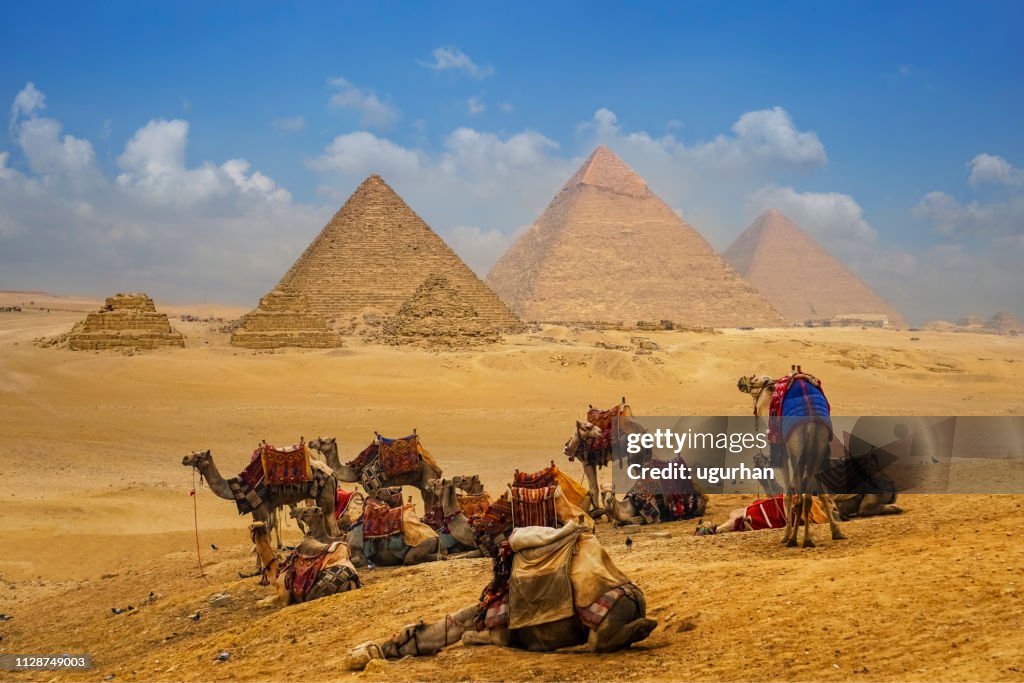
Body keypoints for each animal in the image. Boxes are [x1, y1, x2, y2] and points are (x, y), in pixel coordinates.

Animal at [181, 448, 344, 540]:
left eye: (199, 456)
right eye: (193, 452)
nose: (184, 458)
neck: (238, 486)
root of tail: (332, 474)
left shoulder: (260, 507)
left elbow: (265, 533)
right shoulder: (261, 509)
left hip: (326, 498)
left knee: (335, 530)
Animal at [307, 438, 444, 511]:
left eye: (324, 441)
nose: (310, 443)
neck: (356, 470)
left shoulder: (373, 490)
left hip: (428, 474)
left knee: (428, 498)